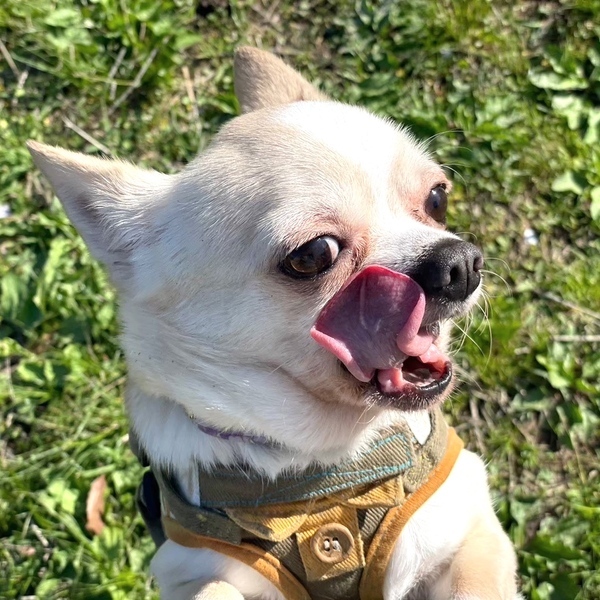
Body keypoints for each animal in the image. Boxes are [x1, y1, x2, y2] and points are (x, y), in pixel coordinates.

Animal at [29, 47, 520, 600]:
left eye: (438, 198)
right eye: (314, 254)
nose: (461, 262)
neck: (324, 466)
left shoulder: (467, 528)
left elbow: (475, 584)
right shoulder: (188, 570)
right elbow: (215, 591)